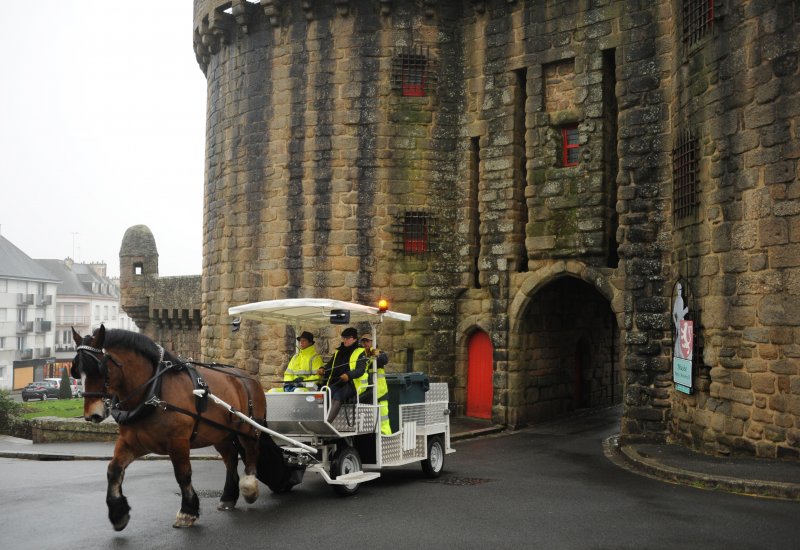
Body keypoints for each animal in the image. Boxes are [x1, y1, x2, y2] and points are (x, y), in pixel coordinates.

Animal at [70, 326, 268, 532]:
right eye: (77, 371)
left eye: (100, 369)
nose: (92, 414)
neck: (153, 392)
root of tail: (248, 377)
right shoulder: (132, 442)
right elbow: (113, 470)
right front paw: (118, 513)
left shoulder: (178, 441)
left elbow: (183, 474)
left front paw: (187, 511)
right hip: (220, 434)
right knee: (230, 459)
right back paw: (228, 497)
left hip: (248, 429)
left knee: (252, 452)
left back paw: (249, 487)